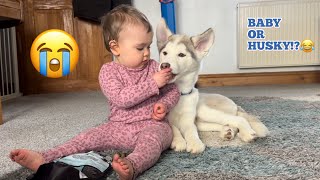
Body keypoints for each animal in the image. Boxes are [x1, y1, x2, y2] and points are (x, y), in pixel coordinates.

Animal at [156, 18, 268, 153]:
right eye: (165, 53)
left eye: (181, 55)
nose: (164, 65)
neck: (180, 93)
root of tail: (235, 104)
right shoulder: (165, 118)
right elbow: (173, 128)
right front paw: (179, 140)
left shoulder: (188, 120)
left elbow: (191, 130)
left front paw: (194, 142)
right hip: (202, 121)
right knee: (228, 123)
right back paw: (227, 131)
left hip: (204, 111)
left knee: (238, 119)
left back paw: (246, 133)